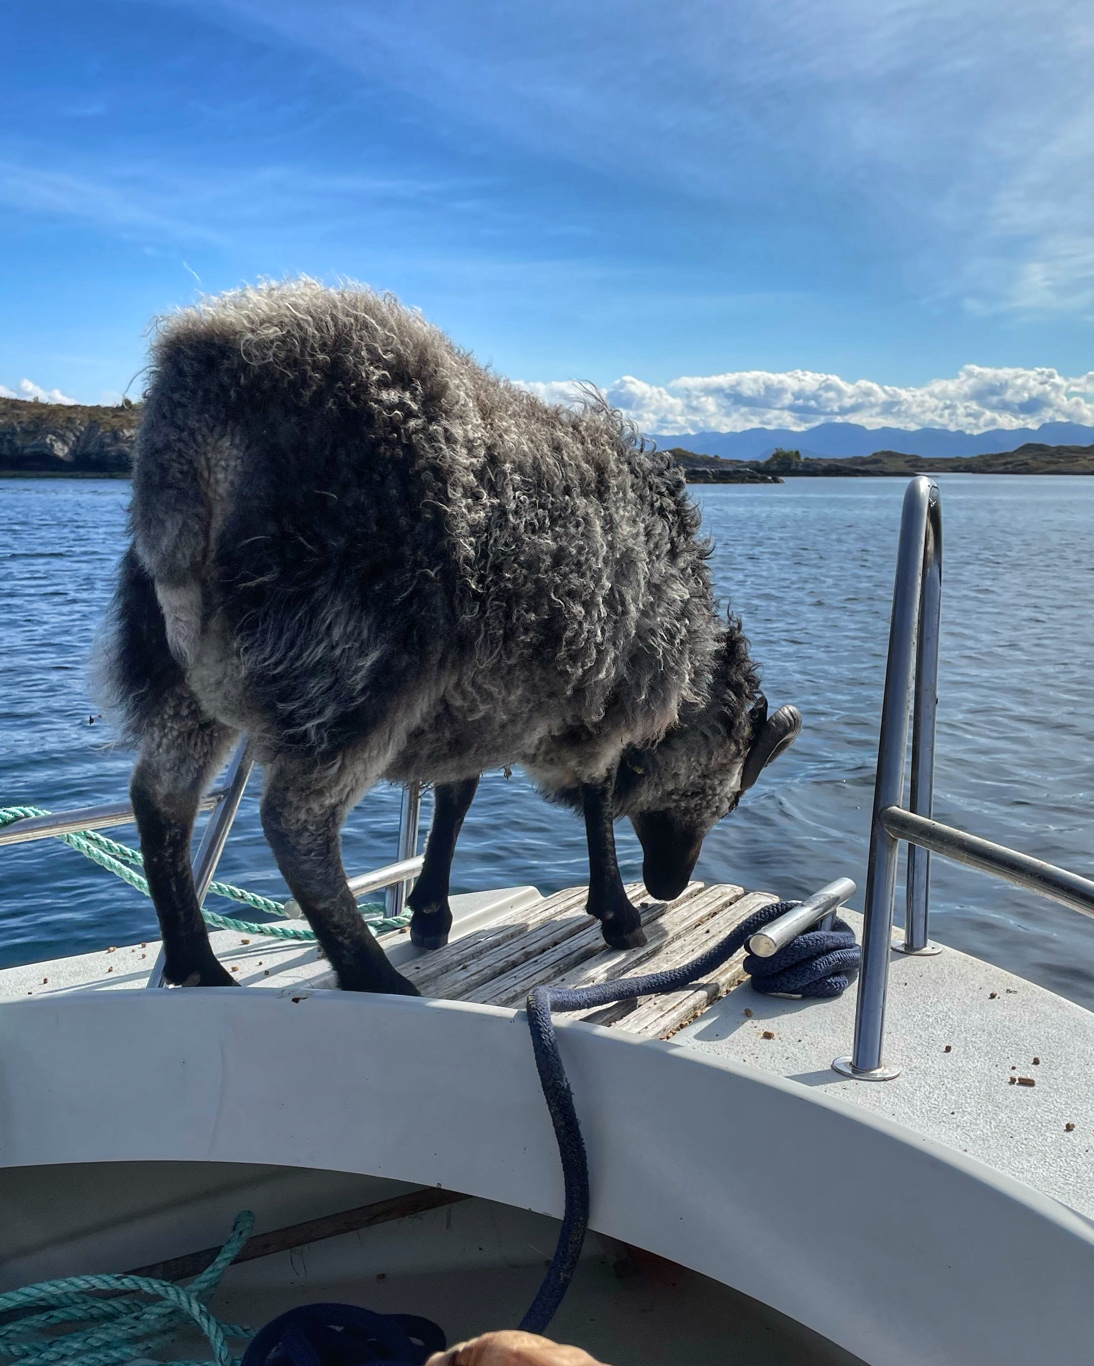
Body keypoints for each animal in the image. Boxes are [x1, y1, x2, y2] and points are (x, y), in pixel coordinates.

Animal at [104, 277, 803, 994]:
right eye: (729, 796)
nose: (669, 886)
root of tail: (200, 402)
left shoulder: (473, 700)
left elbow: (456, 793)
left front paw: (431, 911)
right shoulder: (603, 697)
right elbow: (597, 796)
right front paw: (616, 914)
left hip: (184, 660)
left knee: (160, 795)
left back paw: (198, 964)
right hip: (353, 656)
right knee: (293, 819)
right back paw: (373, 976)